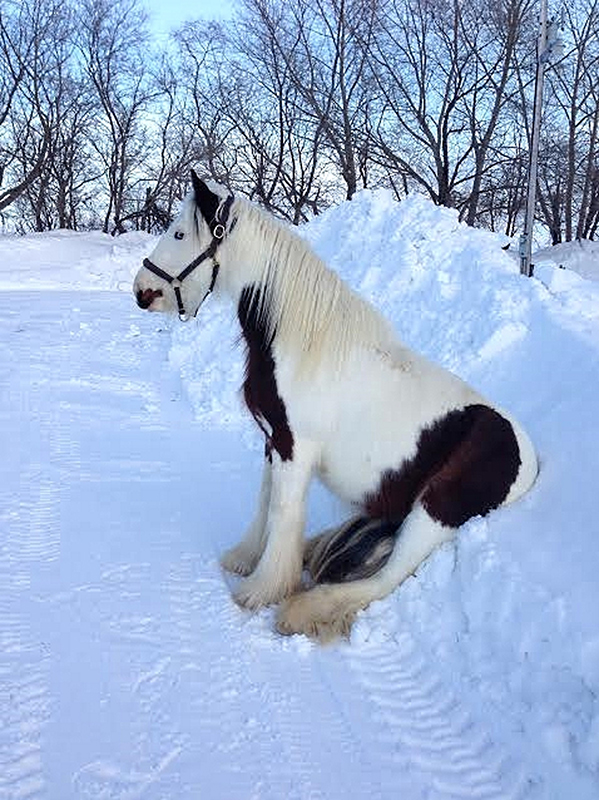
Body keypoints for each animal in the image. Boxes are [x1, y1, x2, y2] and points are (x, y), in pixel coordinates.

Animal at [133, 170, 538, 642]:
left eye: (179, 233)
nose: (142, 291)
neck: (301, 347)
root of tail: (529, 457)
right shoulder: (273, 442)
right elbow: (265, 503)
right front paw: (245, 560)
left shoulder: (294, 449)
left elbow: (282, 512)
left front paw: (260, 591)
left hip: (435, 512)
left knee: (383, 579)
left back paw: (303, 610)